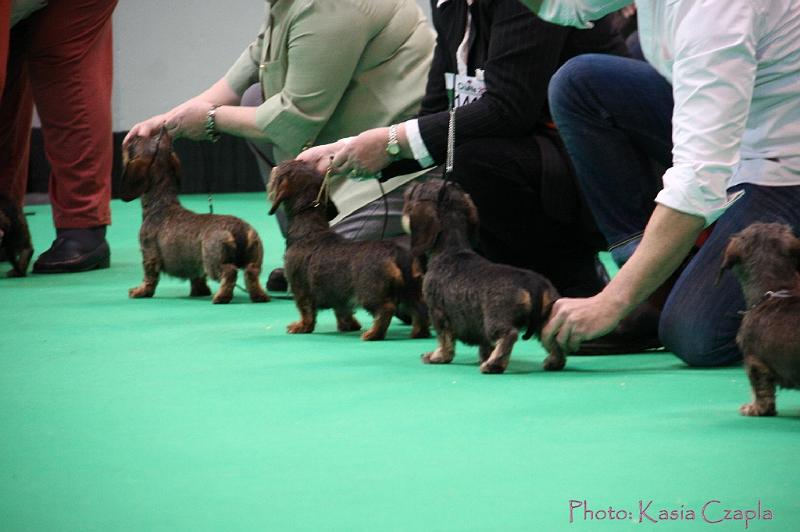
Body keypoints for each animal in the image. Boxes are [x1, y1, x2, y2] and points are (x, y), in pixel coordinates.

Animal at [119, 130, 268, 304]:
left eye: (135, 142)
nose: (133, 137)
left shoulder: (149, 253)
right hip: (253, 255)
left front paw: (140, 291)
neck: (162, 203)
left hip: (213, 260)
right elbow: (197, 278)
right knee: (252, 272)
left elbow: (149, 277)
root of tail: (238, 230)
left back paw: (222, 296)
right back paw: (259, 295)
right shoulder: (196, 267)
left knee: (230, 272)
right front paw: (200, 291)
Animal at [268, 159, 432, 340]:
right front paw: (349, 325)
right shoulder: (339, 294)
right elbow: (343, 310)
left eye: (284, 166)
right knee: (419, 309)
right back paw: (419, 332)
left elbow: (306, 311)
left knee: (386, 308)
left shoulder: (300, 287)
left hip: (369, 292)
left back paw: (373, 334)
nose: (275, 166)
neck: (309, 229)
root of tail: (395, 254)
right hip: (410, 289)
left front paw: (301, 326)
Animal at [400, 179, 564, 374]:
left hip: (495, 320)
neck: (451, 250)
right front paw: (483, 356)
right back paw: (555, 362)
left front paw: (437, 356)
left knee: (509, 335)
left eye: (413, 193)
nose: (410, 186)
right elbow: (484, 345)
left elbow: (444, 339)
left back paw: (493, 365)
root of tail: (532, 283)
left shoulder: (437, 312)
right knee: (552, 338)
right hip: (546, 319)